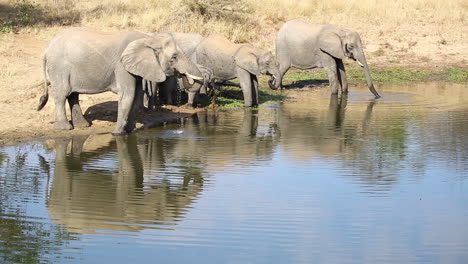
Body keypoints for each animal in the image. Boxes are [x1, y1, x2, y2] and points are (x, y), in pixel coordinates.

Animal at [37, 28, 203, 135]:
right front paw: (117, 134)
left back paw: (83, 126)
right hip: (59, 67)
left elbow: (136, 97)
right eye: (174, 57)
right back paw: (65, 128)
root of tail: (46, 49)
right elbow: (127, 95)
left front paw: (129, 131)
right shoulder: (122, 66)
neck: (147, 38)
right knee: (62, 94)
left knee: (73, 95)